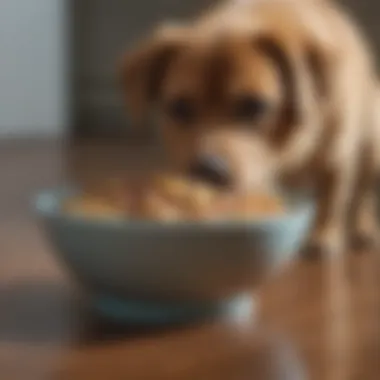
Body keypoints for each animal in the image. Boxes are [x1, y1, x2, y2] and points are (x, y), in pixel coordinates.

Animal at [121, 0, 380, 258]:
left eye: (252, 106)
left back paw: (363, 227)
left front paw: (323, 235)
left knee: (362, 194)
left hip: (371, 154)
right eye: (180, 107)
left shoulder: (336, 158)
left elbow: (331, 199)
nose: (207, 172)